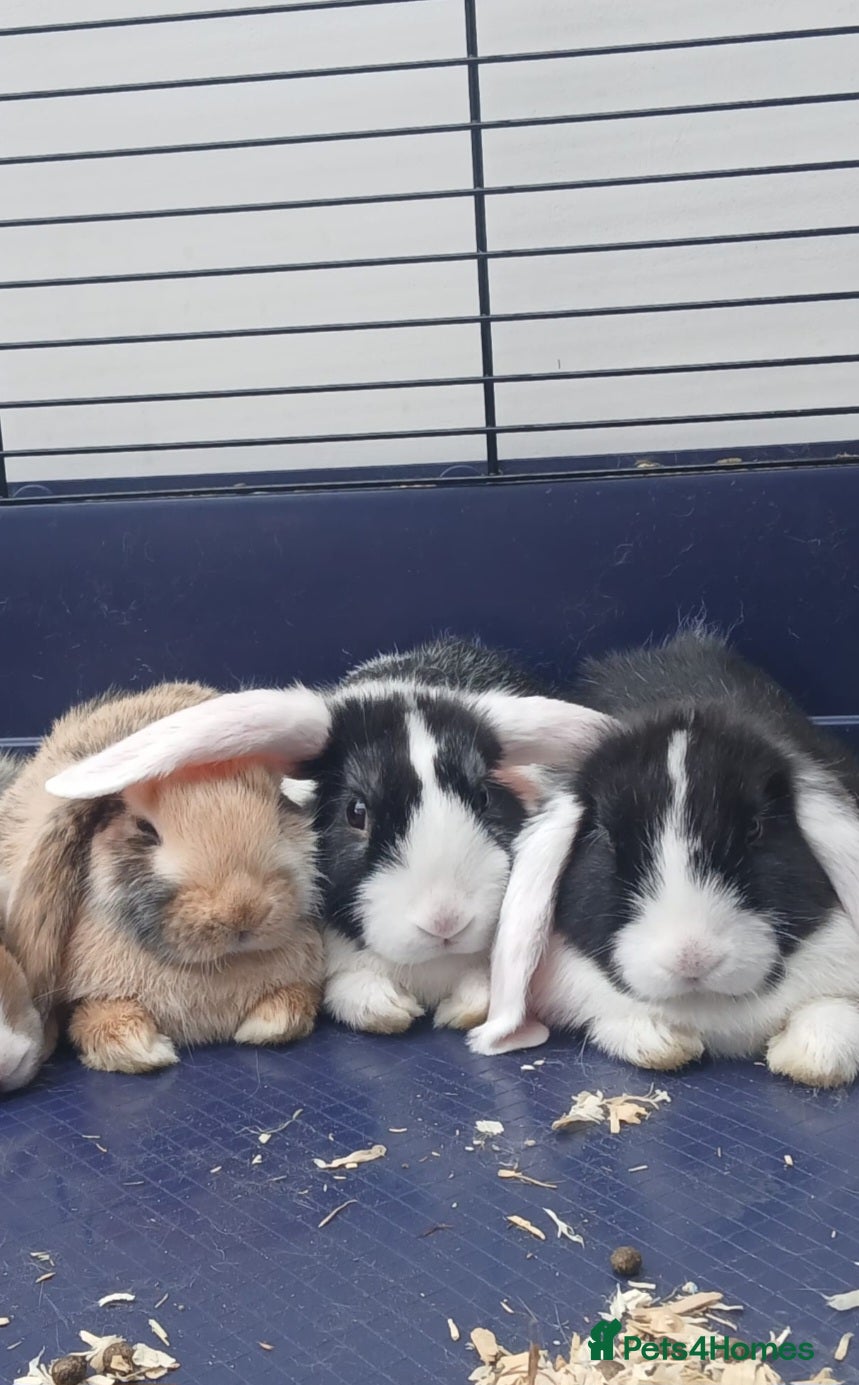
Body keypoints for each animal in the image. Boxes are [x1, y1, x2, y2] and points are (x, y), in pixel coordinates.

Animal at [0, 681, 330, 1076]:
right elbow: (99, 1017)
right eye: (145, 830)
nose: (242, 910)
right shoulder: (94, 998)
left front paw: (263, 1027)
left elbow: (294, 1001)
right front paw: (142, 1049)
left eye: (280, 808)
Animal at [49, 641, 612, 1038]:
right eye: (355, 812)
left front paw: (459, 1011)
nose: (445, 922)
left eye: (483, 797)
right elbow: (355, 994)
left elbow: (479, 991)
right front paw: (393, 1008)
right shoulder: (339, 965)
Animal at [469, 629, 859, 1088]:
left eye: (755, 829)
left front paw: (802, 1057)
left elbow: (832, 1018)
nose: (691, 958)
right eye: (606, 836)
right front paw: (667, 1045)